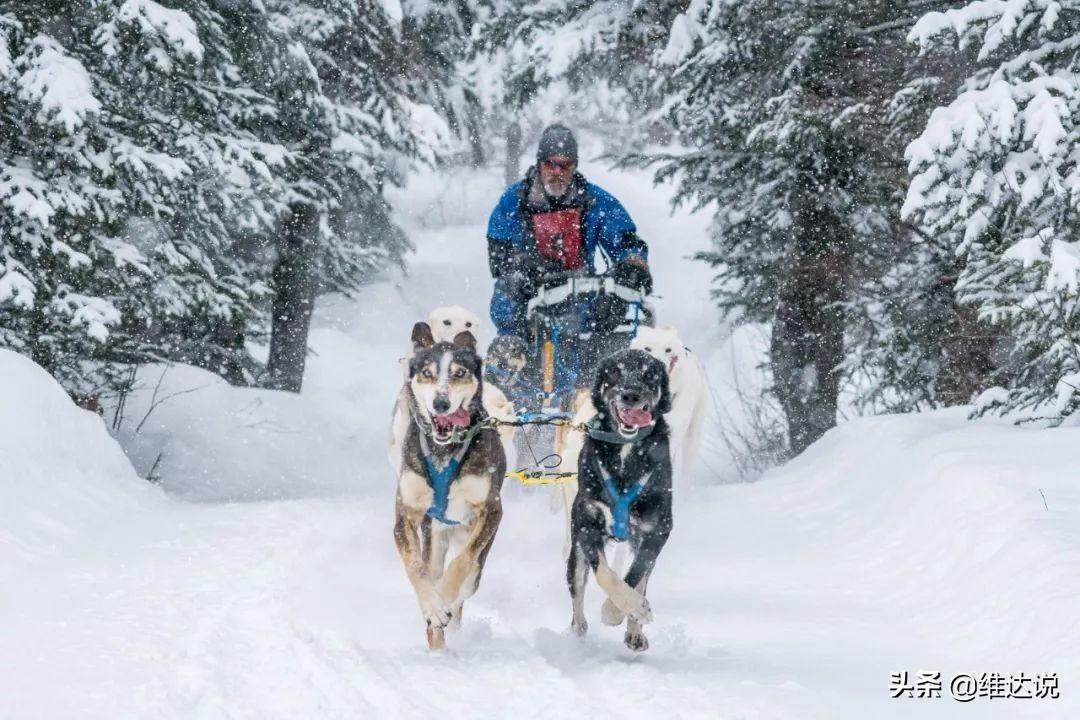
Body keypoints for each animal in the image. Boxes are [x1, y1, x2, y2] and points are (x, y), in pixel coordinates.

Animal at [393, 323, 505, 651]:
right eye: (427, 373)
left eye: (459, 373)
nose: (440, 403)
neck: (443, 451)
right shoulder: (406, 515)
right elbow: (415, 567)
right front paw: (432, 605)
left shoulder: (491, 510)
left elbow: (462, 562)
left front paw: (444, 594)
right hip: (434, 537)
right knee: (431, 569)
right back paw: (438, 646)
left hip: (478, 559)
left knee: (466, 582)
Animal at [570, 349, 669, 651]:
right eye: (615, 371)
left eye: (650, 375)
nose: (631, 395)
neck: (626, 449)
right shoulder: (588, 523)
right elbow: (606, 575)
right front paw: (616, 610)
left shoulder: (657, 530)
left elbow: (634, 577)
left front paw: (619, 611)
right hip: (576, 549)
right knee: (577, 590)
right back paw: (578, 629)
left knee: (642, 579)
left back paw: (635, 629)